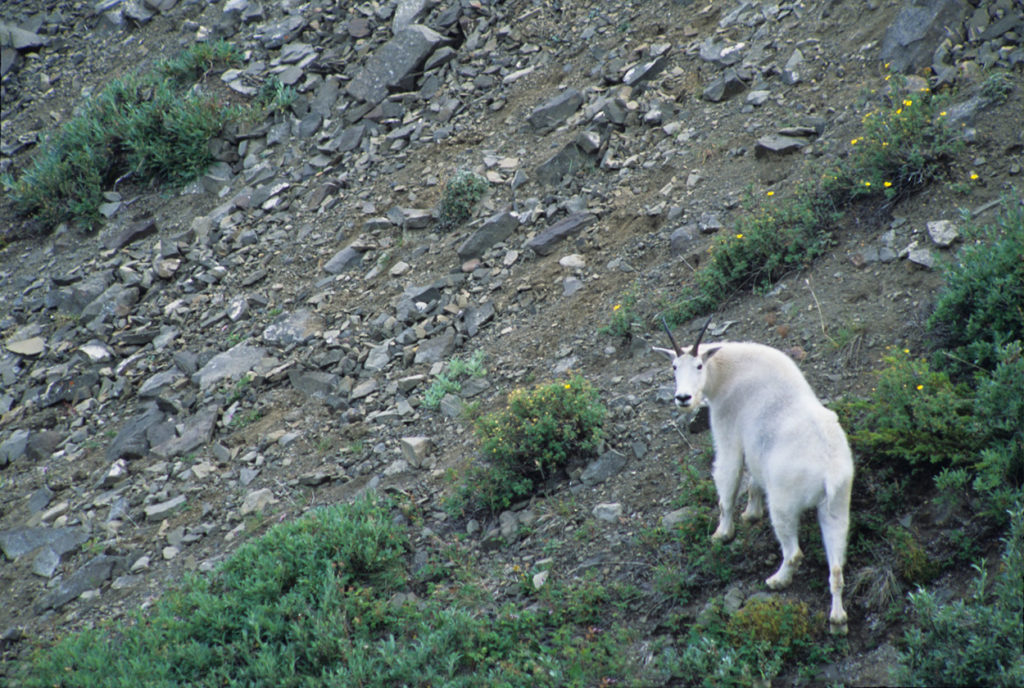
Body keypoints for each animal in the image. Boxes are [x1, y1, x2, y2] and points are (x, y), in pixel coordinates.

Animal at [655, 317, 856, 634]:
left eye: (698, 365)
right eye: (674, 366)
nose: (683, 398)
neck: (726, 371)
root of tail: (830, 472)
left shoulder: (728, 432)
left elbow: (728, 483)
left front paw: (722, 533)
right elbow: (753, 481)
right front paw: (751, 513)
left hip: (785, 503)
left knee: (794, 551)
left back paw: (777, 580)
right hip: (836, 507)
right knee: (836, 566)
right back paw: (837, 619)